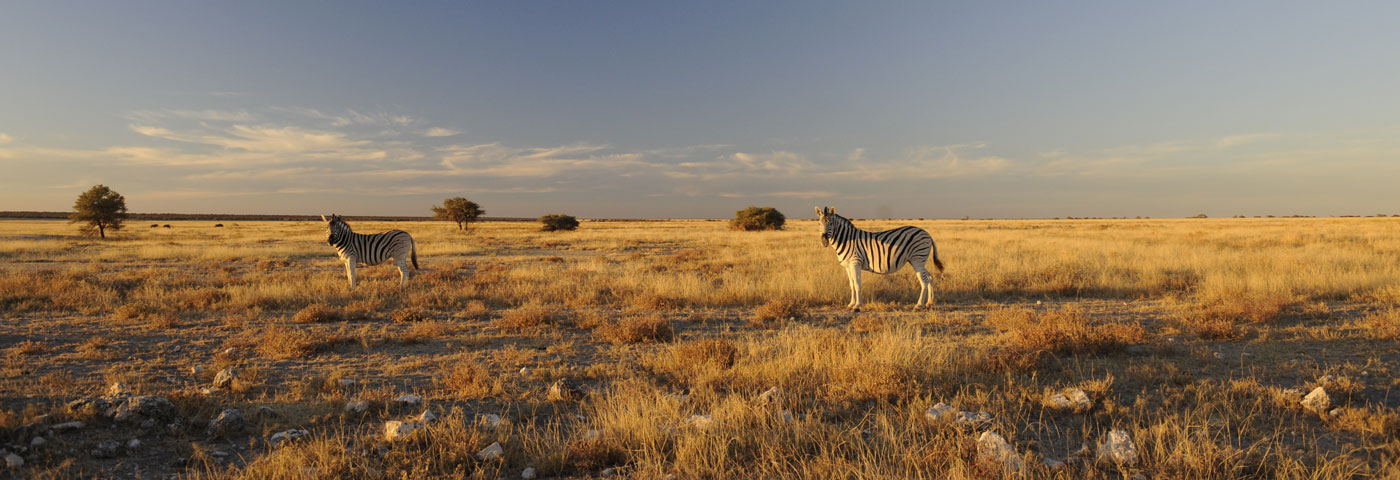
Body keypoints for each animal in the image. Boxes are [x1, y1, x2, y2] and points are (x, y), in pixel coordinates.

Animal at [817, 205, 946, 312]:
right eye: (819, 224)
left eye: (830, 223)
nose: (823, 241)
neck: (847, 240)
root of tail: (927, 234)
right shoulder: (848, 266)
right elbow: (852, 285)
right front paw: (850, 304)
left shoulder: (855, 263)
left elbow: (857, 285)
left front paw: (857, 306)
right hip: (918, 261)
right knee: (930, 278)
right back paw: (929, 303)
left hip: (917, 260)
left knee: (924, 281)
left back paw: (919, 305)